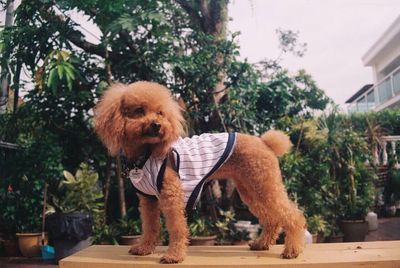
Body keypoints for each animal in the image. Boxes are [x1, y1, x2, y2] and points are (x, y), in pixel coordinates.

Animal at [94, 80, 306, 262]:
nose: (157, 125)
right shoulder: (148, 200)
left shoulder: (170, 195)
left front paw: (174, 256)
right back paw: (262, 244)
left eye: (160, 112)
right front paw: (144, 248)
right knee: (272, 219)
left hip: (263, 185)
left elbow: (177, 227)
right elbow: (150, 226)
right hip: (251, 190)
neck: (147, 153)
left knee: (293, 216)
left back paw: (292, 250)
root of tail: (265, 143)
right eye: (139, 110)